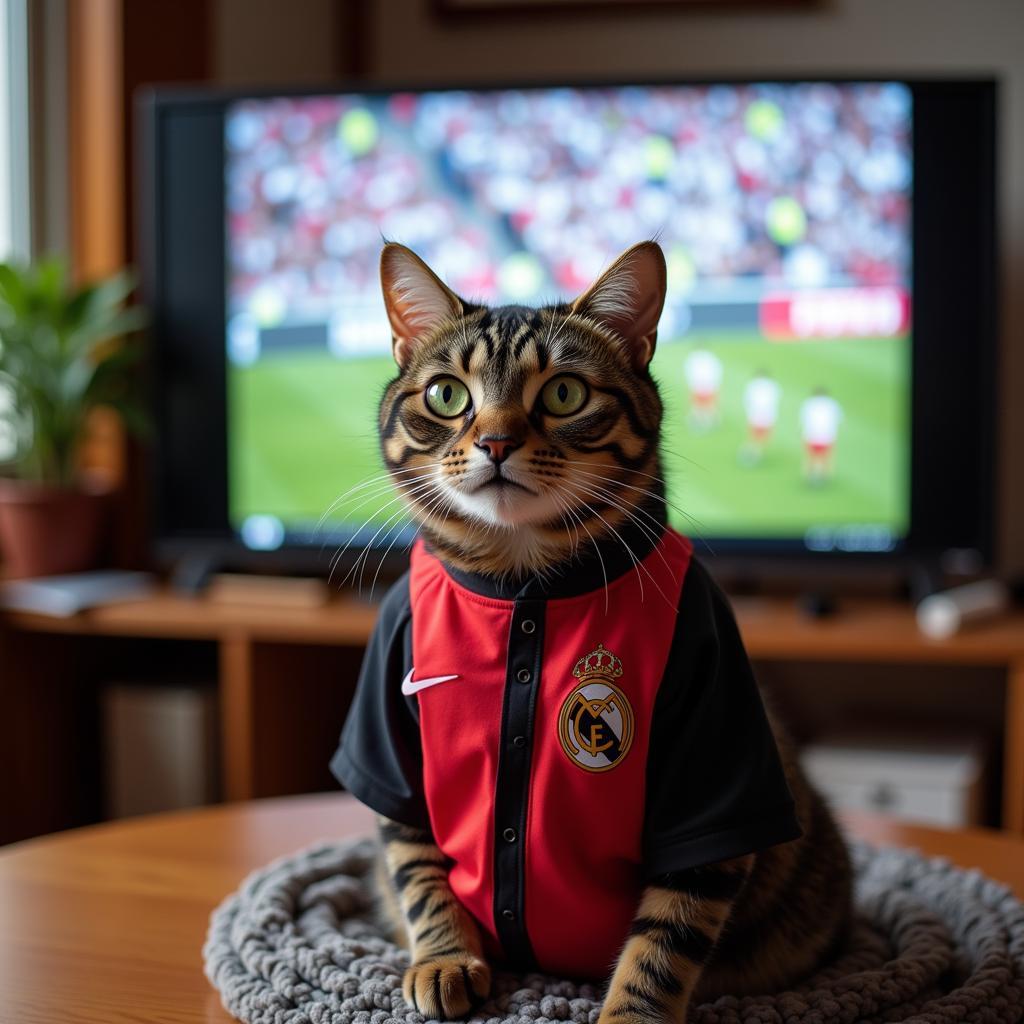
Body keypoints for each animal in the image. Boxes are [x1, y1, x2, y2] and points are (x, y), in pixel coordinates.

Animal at [331, 235, 851, 1019]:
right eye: (447, 395)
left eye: (564, 394)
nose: (494, 442)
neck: (525, 582)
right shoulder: (393, 742)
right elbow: (418, 870)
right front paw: (445, 956)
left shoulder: (711, 746)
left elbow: (665, 941)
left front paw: (631, 1010)